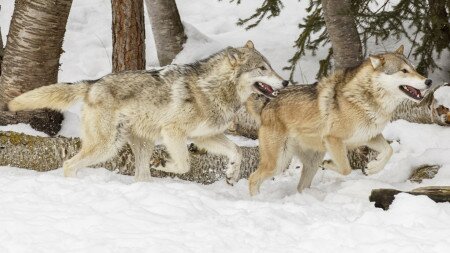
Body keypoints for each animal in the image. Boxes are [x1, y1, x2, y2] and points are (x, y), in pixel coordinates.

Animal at [9, 41, 288, 184]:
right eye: (262, 68)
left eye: (271, 67)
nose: (285, 82)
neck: (213, 88)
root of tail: (92, 83)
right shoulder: (174, 133)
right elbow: (184, 165)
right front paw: (165, 164)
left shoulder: (204, 137)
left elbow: (237, 151)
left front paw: (231, 174)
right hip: (108, 146)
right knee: (68, 164)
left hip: (139, 145)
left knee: (140, 176)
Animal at [246, 46, 432, 196]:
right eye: (404, 71)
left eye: (414, 69)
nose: (428, 81)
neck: (365, 99)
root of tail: (266, 104)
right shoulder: (333, 139)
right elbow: (346, 169)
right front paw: (330, 164)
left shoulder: (369, 136)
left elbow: (389, 151)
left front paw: (373, 168)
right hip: (278, 163)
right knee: (252, 178)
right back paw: (258, 200)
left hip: (310, 163)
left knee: (300, 187)